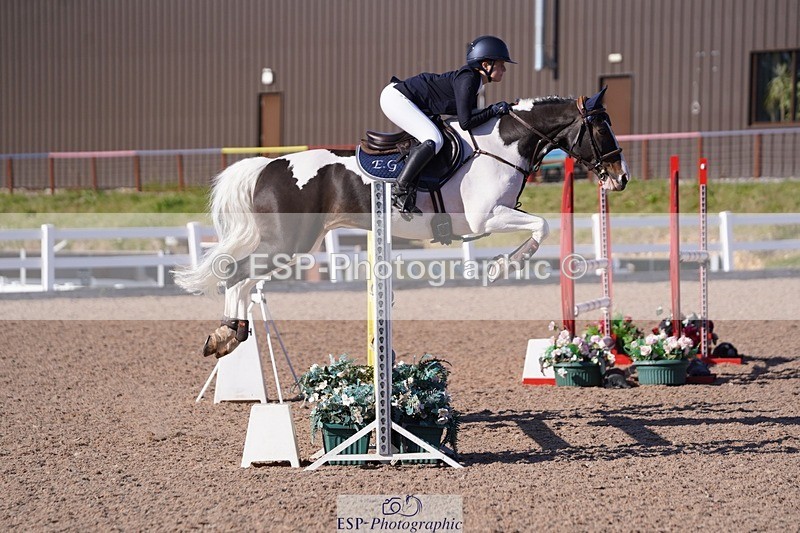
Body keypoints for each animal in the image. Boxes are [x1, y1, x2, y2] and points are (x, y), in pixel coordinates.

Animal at [174, 88, 630, 358]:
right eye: (601, 129)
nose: (620, 178)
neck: (501, 145)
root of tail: (268, 165)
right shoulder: (488, 216)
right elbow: (541, 227)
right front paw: (503, 266)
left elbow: (541, 226)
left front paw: (502, 265)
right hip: (290, 243)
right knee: (237, 273)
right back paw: (227, 334)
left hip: (294, 244)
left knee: (242, 276)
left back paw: (231, 332)